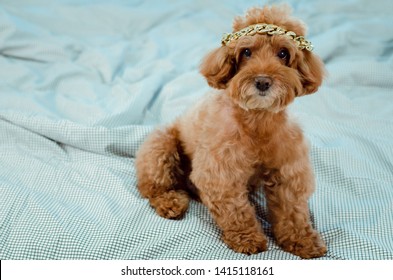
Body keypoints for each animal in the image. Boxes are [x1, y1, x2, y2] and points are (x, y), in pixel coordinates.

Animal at [136, 4, 326, 258]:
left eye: (283, 53)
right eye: (246, 52)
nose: (263, 82)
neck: (256, 120)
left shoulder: (288, 172)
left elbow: (292, 210)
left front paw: (302, 240)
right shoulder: (220, 173)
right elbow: (236, 209)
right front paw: (247, 238)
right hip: (160, 146)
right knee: (152, 187)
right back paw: (171, 202)